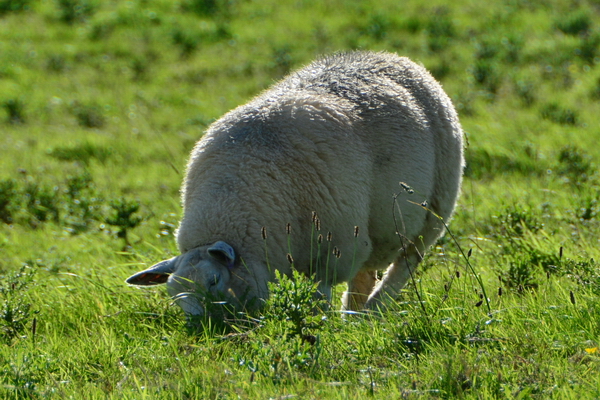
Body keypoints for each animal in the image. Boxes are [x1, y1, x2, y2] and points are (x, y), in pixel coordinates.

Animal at [126, 50, 464, 316]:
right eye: (174, 293)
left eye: (214, 280)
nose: (201, 327)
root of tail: (389, 57)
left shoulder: (333, 252)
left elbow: (317, 300)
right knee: (366, 274)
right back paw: (354, 315)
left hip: (435, 210)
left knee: (405, 263)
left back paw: (372, 311)